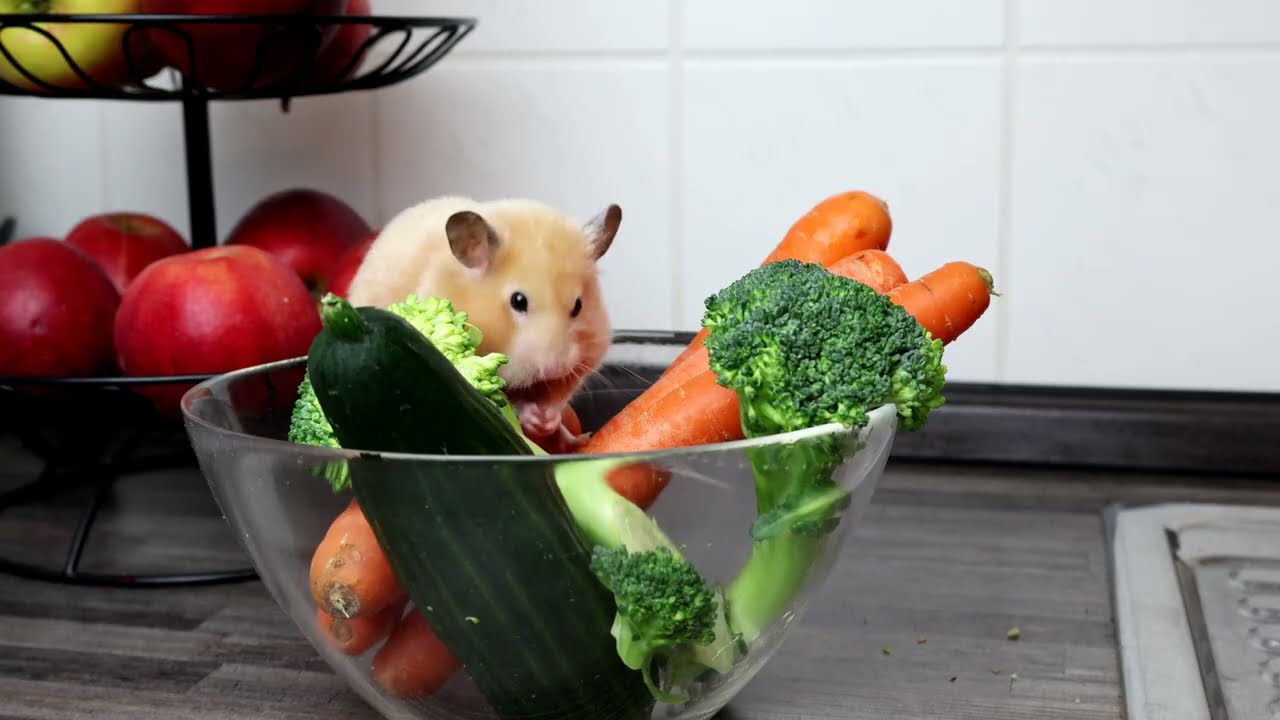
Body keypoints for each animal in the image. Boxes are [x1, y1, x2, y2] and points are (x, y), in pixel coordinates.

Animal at [344, 196, 621, 447]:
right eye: (518, 301)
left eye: (578, 305)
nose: (554, 368)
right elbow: (508, 401)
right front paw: (533, 415)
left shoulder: (582, 361)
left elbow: (558, 394)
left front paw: (548, 418)